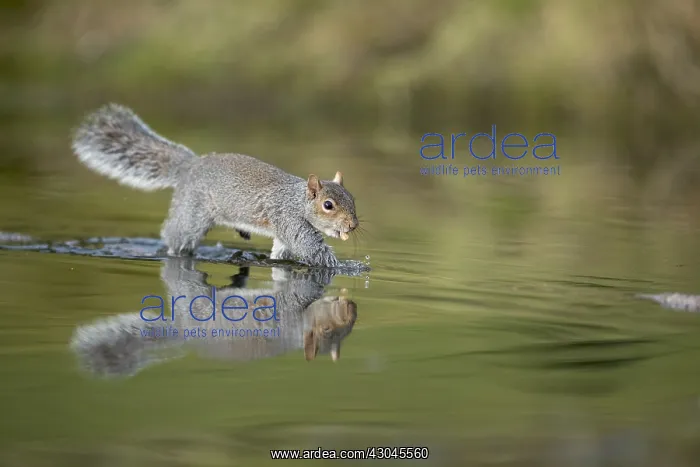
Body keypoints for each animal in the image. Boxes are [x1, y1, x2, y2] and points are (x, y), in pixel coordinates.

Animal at [71, 104, 359, 267]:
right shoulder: (290, 220)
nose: (353, 226)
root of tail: (189, 165)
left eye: (353, 199)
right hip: (191, 213)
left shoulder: (283, 232)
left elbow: (281, 252)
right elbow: (312, 249)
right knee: (175, 237)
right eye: (328, 205)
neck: (297, 200)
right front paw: (345, 266)